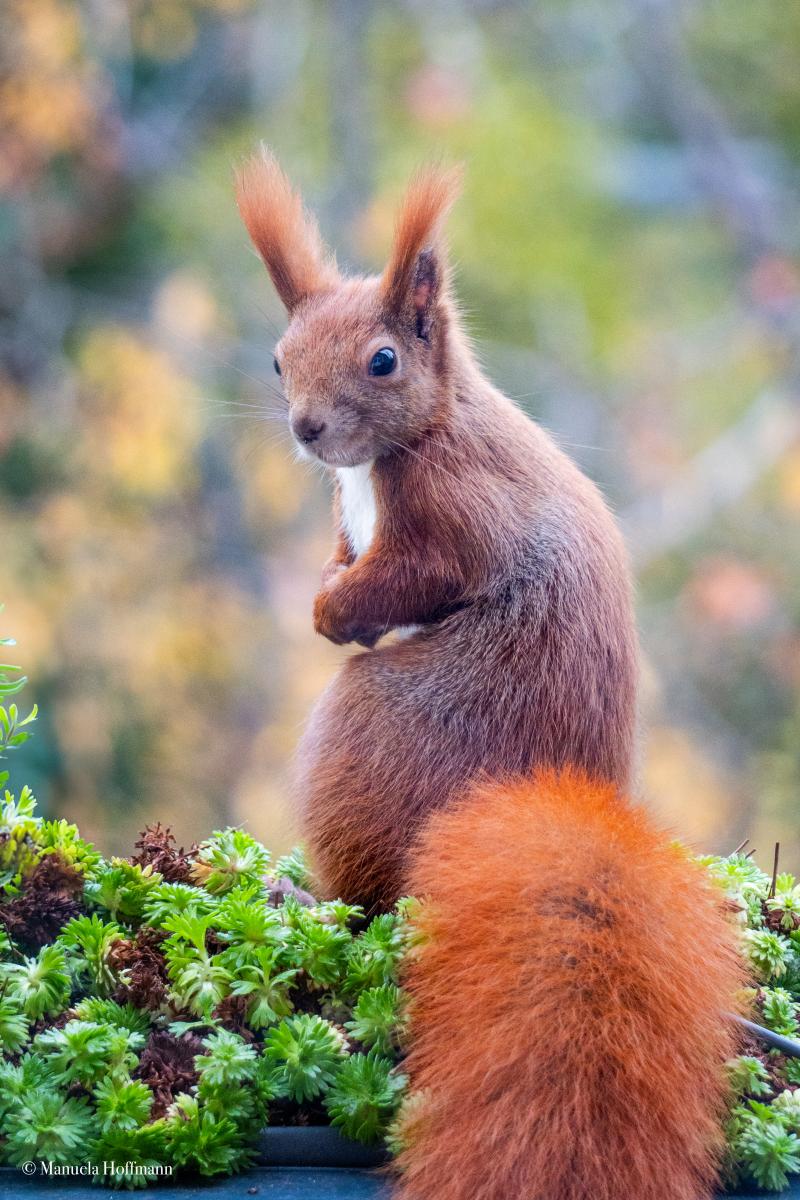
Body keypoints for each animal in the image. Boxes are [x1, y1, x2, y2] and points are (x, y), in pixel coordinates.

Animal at [236, 154, 743, 1200]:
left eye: (383, 361)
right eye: (277, 357)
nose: (306, 429)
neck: (419, 434)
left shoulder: (457, 514)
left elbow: (412, 577)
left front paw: (333, 614)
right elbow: (346, 553)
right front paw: (325, 587)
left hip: (372, 735)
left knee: (375, 906)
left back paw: (307, 896)